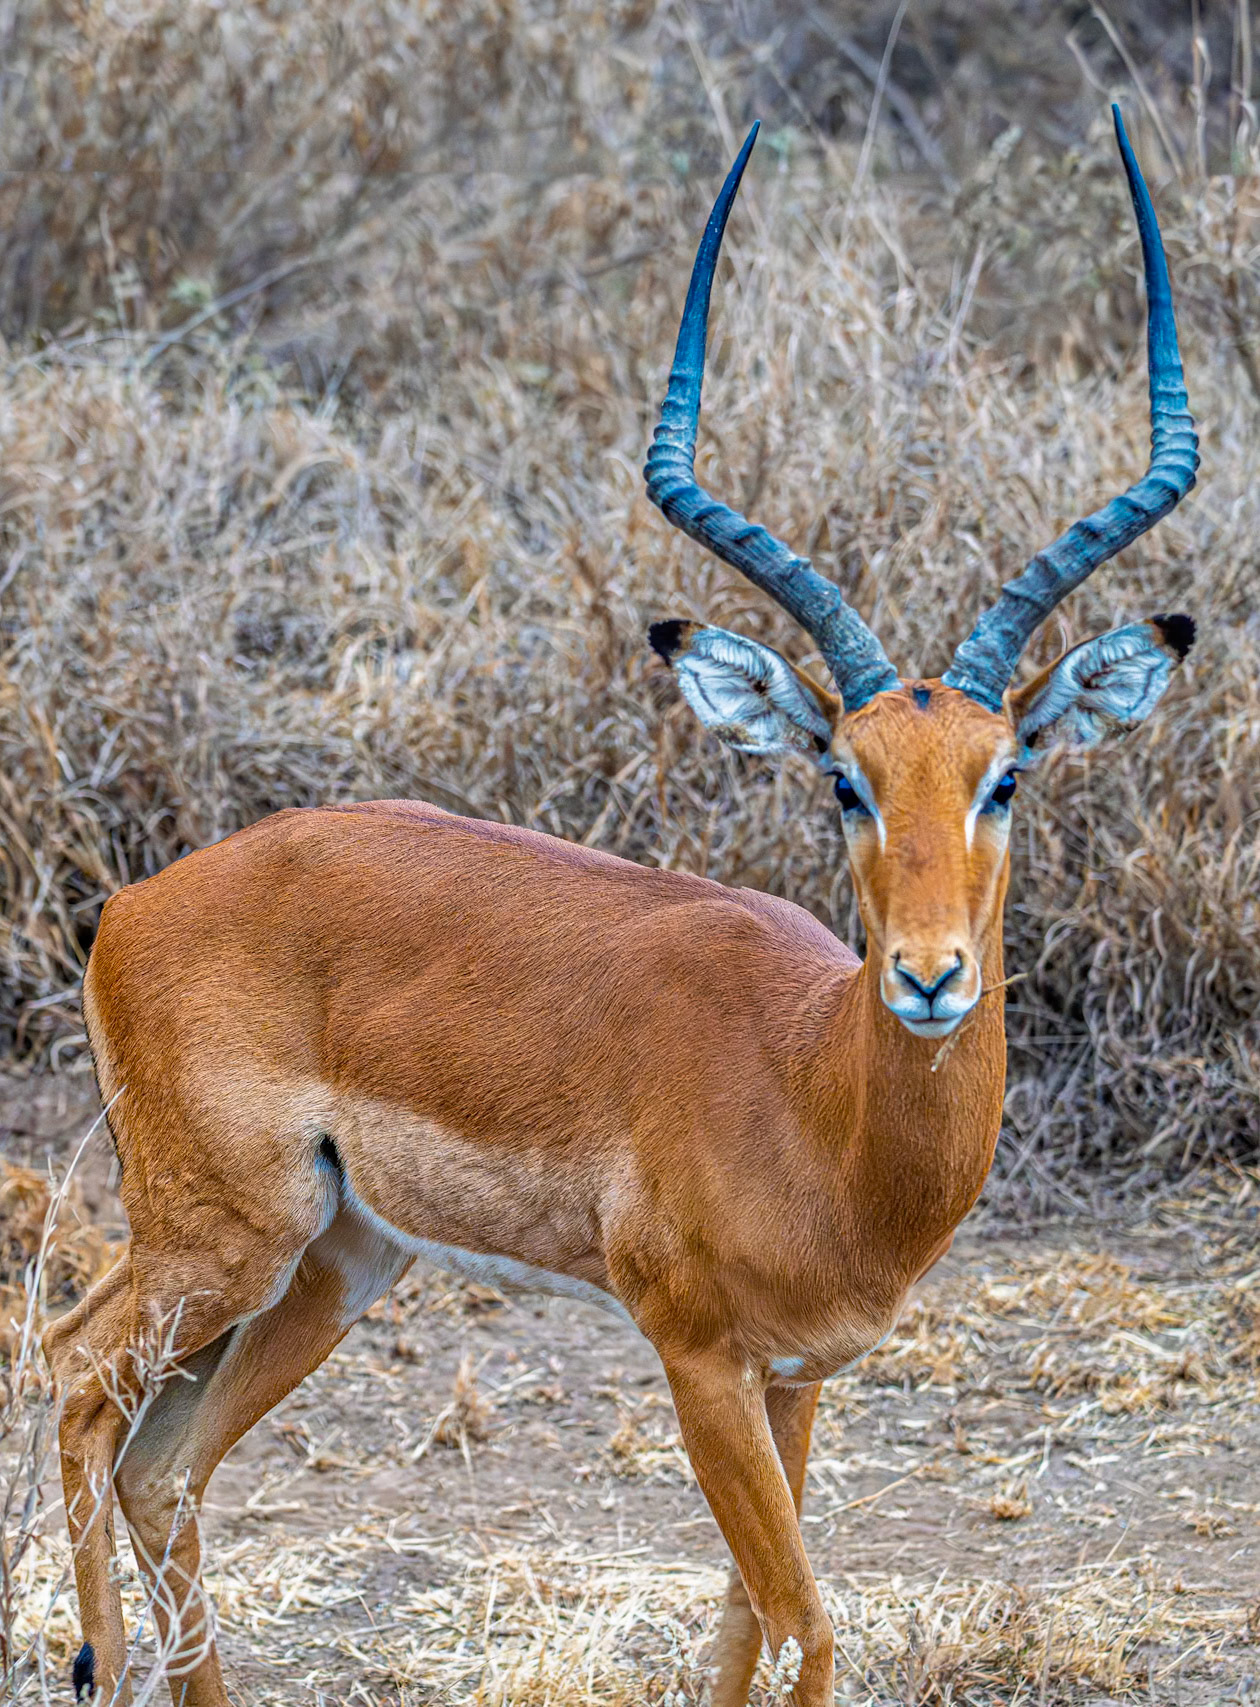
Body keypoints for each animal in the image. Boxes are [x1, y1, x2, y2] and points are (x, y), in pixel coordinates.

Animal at [45, 106, 1197, 1707]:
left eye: (1007, 772)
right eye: (844, 777)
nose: (929, 975)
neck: (814, 1092)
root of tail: (141, 899)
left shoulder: (796, 1376)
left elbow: (741, 1622)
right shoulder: (697, 1359)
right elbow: (807, 1621)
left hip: (332, 1265)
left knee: (161, 1465)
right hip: (220, 1235)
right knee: (71, 1375)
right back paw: (89, 1652)